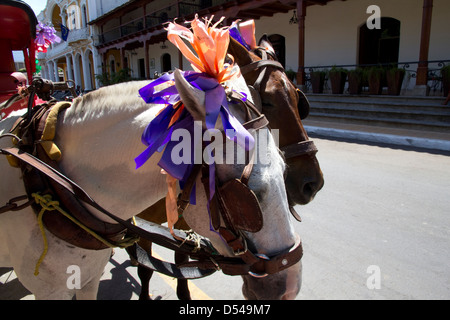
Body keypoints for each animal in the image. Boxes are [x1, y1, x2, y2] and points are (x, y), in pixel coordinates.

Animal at [134, 36, 324, 302]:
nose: (313, 183)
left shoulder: (183, 219)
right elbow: (145, 269)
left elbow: (181, 260)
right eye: (267, 101)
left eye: (299, 100)